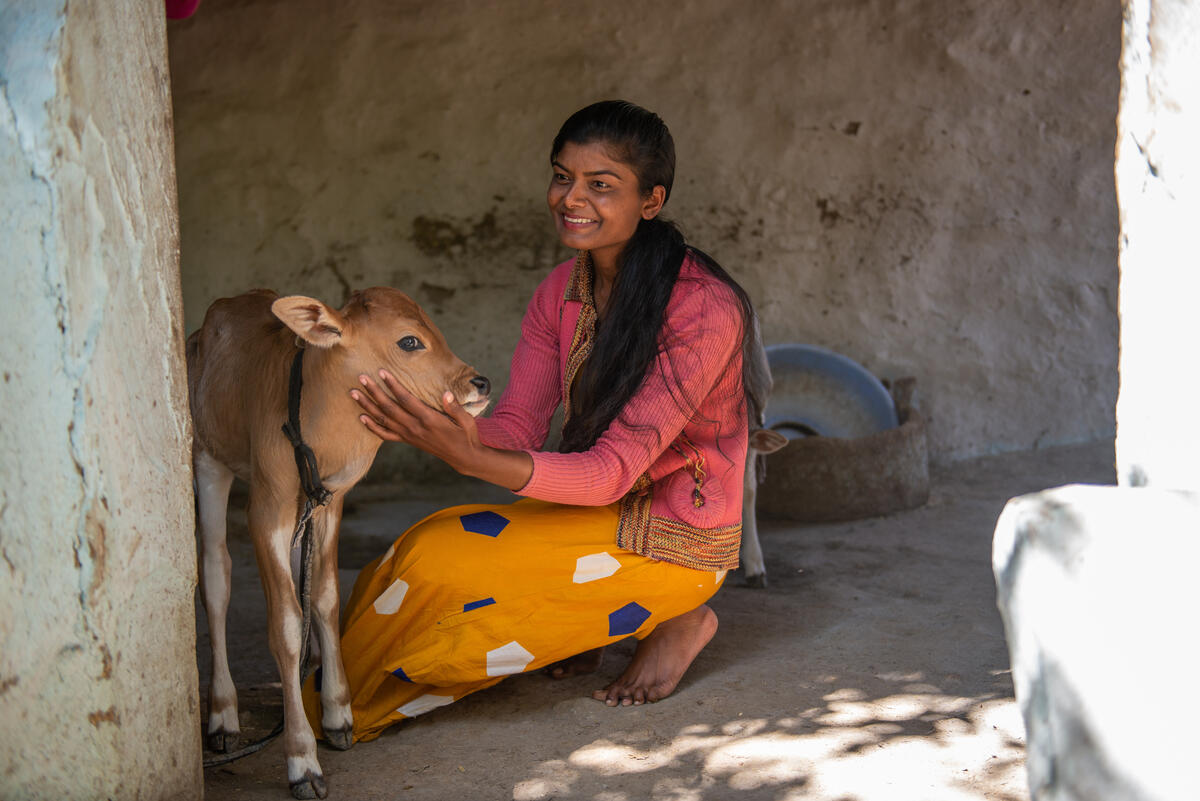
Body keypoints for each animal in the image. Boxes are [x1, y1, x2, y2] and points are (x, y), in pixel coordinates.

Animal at [187, 286, 487, 796]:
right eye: (410, 341)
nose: (479, 383)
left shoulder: (332, 500)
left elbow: (325, 597)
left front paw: (337, 713)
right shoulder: (265, 506)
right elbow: (284, 623)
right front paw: (302, 759)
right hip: (208, 457)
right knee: (216, 574)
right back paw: (223, 717)